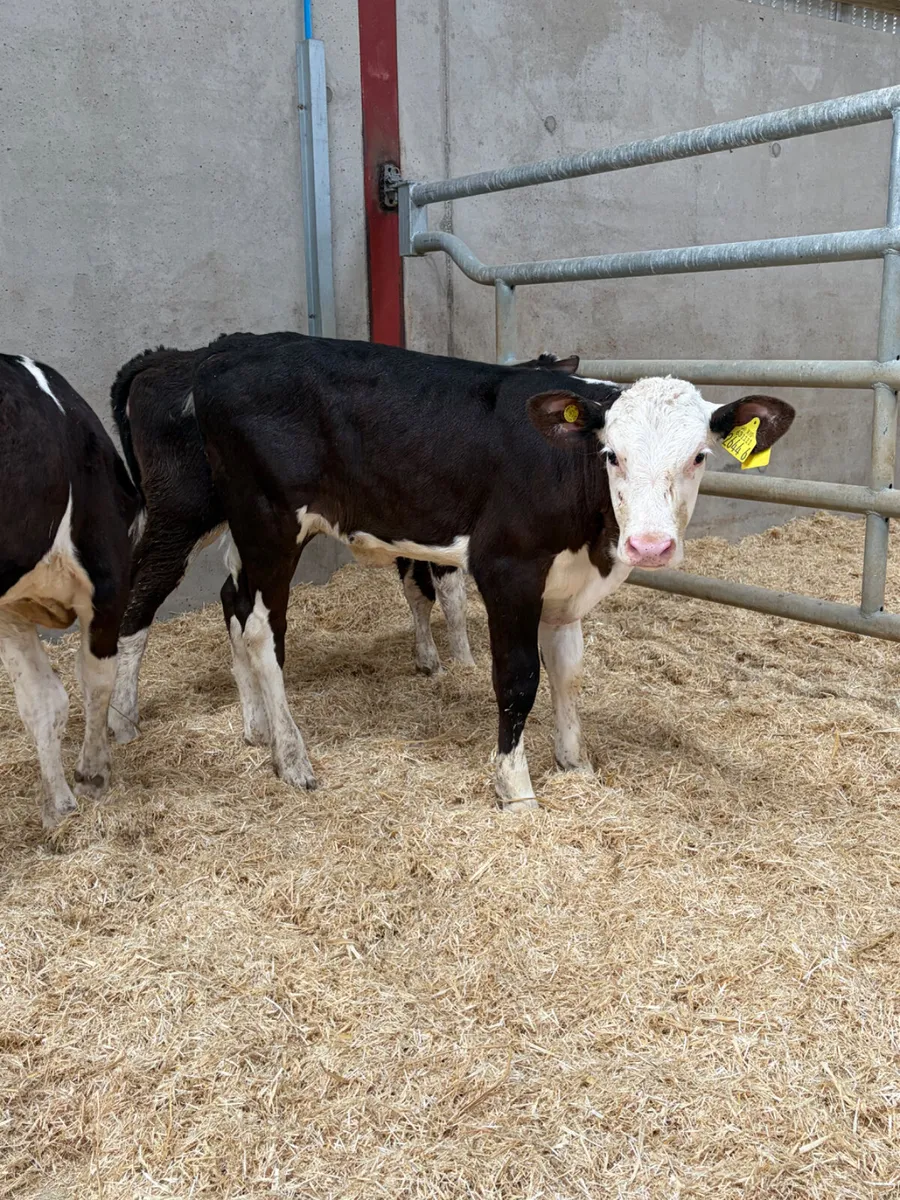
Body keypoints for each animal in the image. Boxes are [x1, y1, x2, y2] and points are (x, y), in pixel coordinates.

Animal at [0, 355, 139, 829]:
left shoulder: (106, 582)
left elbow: (92, 680)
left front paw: (90, 776)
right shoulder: (9, 608)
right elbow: (42, 701)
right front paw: (59, 807)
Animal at [188, 336, 794, 809]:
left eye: (699, 456)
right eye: (612, 455)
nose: (650, 545)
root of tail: (226, 354)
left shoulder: (567, 587)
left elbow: (568, 671)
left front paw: (575, 764)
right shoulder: (508, 570)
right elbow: (518, 679)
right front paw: (516, 788)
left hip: (248, 535)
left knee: (233, 603)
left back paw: (256, 728)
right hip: (268, 524)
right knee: (262, 630)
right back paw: (292, 757)